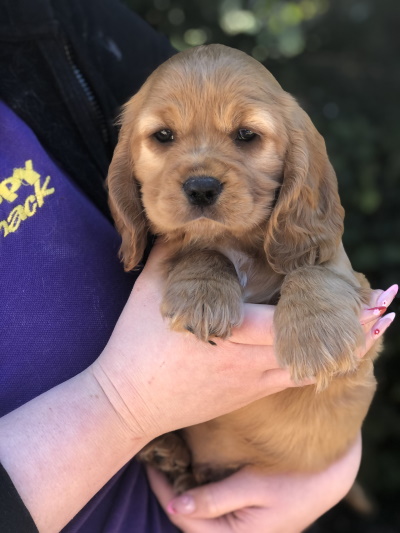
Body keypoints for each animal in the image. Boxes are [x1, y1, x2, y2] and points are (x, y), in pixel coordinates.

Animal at [107, 44, 382, 490]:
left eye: (246, 135)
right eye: (163, 135)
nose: (201, 188)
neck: (240, 243)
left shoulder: (360, 299)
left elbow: (313, 270)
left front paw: (316, 337)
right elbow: (199, 248)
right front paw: (203, 295)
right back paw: (167, 452)